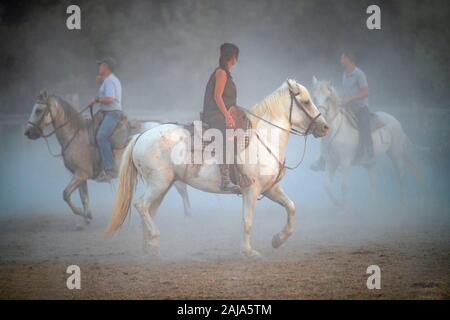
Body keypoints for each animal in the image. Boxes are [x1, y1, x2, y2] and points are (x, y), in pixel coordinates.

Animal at [24, 89, 192, 225]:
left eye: (38, 110)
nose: (27, 132)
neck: (76, 136)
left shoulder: (81, 174)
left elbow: (65, 194)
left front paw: (83, 215)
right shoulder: (80, 175)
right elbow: (83, 197)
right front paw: (85, 218)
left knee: (182, 190)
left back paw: (187, 216)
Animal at [105, 80, 330, 258]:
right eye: (306, 102)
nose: (325, 127)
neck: (263, 139)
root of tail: (140, 136)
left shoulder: (269, 189)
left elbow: (291, 207)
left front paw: (277, 240)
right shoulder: (251, 190)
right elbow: (247, 221)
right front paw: (248, 252)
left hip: (163, 186)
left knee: (149, 210)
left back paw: (150, 247)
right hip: (158, 184)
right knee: (141, 205)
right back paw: (154, 239)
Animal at [312, 77, 422, 208]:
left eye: (328, 98)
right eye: (314, 97)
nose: (319, 121)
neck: (336, 131)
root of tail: (395, 121)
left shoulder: (345, 162)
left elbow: (344, 187)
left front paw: (344, 209)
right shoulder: (330, 162)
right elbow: (327, 186)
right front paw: (338, 205)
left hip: (395, 153)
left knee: (400, 175)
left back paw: (403, 203)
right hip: (370, 162)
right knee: (374, 182)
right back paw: (372, 206)